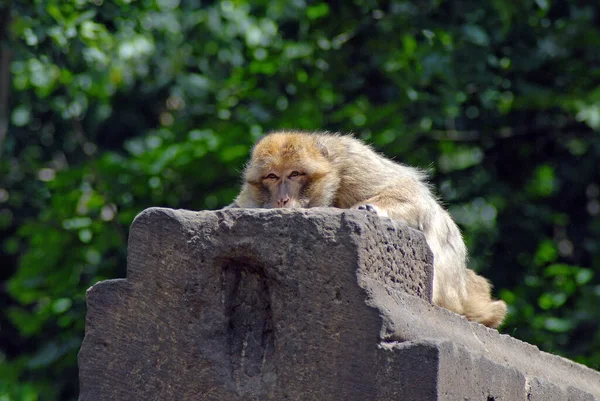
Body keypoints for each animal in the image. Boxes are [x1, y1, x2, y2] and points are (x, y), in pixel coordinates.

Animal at [229, 130, 506, 326]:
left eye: (295, 174)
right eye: (272, 177)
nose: (282, 199)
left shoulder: (353, 161)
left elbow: (410, 192)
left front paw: (368, 209)